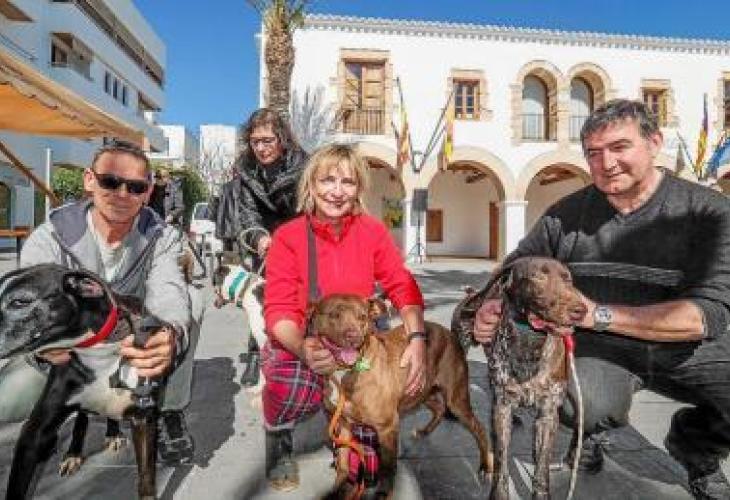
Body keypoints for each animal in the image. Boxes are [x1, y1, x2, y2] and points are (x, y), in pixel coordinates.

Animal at [0, 264, 168, 500]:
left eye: (19, 302)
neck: (98, 350)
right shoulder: (33, 435)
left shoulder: (143, 418)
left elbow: (146, 477)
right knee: (81, 419)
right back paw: (73, 453)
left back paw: (112, 433)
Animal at [310, 293, 493, 499]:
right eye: (334, 315)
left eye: (363, 317)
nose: (354, 336)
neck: (345, 372)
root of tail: (450, 334)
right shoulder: (341, 423)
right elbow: (343, 461)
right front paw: (340, 488)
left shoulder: (387, 427)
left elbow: (387, 467)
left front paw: (384, 492)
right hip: (421, 390)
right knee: (439, 408)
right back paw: (425, 431)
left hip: (456, 400)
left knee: (478, 427)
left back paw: (485, 467)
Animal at [453, 257, 587, 500]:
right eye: (538, 276)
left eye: (568, 279)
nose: (579, 310)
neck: (530, 343)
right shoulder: (502, 410)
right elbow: (501, 464)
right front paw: (498, 493)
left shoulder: (548, 414)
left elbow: (541, 469)